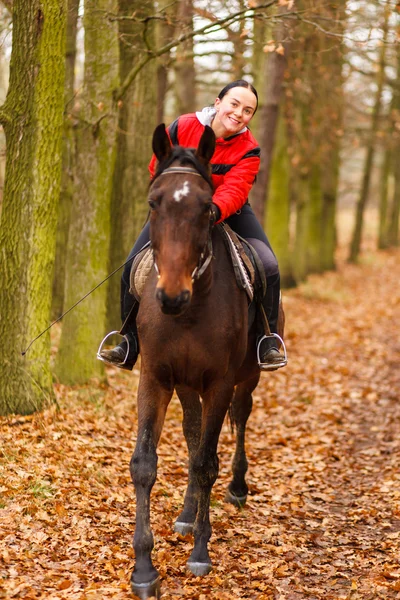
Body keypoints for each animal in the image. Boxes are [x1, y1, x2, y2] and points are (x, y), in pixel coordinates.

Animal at [130, 124, 282, 596]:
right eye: (153, 202)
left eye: (206, 208)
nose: (171, 295)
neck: (191, 310)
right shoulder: (156, 379)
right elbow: (145, 465)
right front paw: (144, 569)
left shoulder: (219, 384)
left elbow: (204, 465)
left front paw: (200, 552)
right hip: (185, 385)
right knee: (193, 434)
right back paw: (184, 513)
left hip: (245, 380)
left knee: (238, 421)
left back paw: (236, 487)